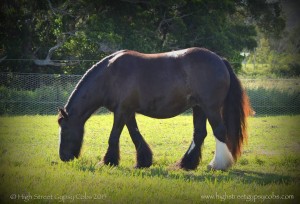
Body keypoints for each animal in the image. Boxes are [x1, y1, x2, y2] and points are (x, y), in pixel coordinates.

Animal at [58, 47, 251, 171]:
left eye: (64, 129)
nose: (63, 157)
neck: (110, 75)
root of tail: (220, 60)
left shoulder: (121, 111)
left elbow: (114, 136)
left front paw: (108, 161)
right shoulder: (128, 111)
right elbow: (134, 134)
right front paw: (143, 161)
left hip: (210, 107)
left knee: (219, 131)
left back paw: (217, 165)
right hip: (199, 108)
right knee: (199, 134)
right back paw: (186, 164)